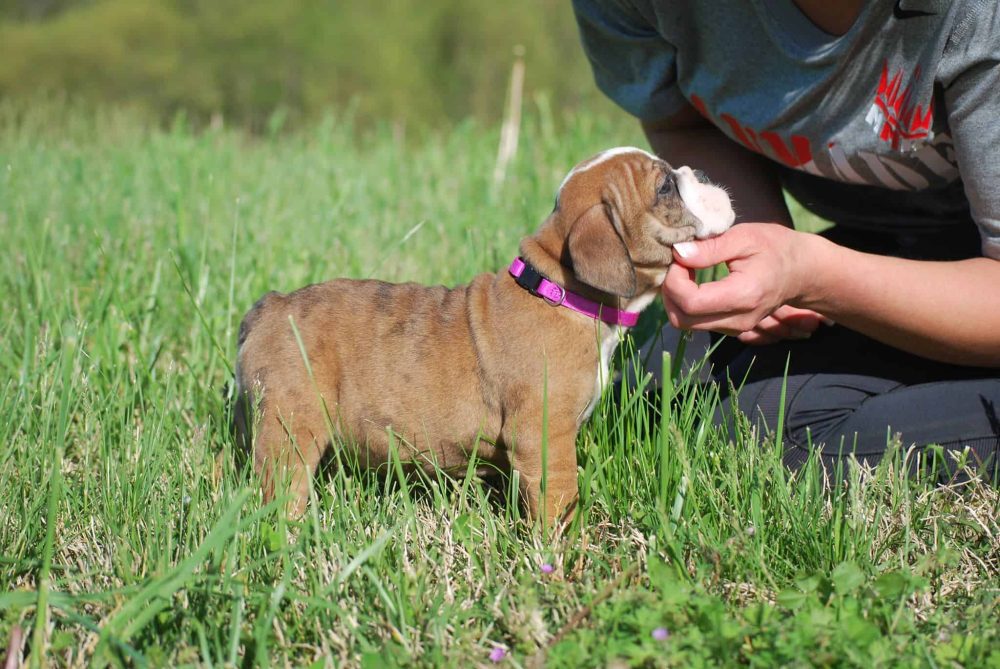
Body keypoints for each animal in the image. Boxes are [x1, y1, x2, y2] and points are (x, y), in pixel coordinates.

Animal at [234, 149, 736, 524]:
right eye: (666, 188)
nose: (702, 170)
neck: (562, 290)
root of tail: (270, 307)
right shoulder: (545, 438)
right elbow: (560, 501)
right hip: (290, 427)